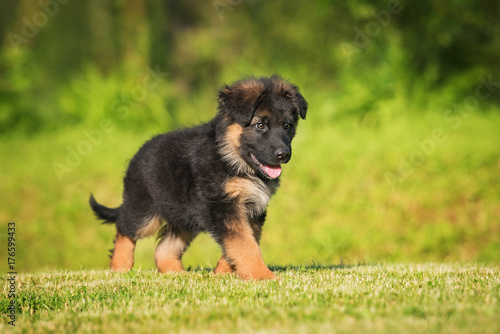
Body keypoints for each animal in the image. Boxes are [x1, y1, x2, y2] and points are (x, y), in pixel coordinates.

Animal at [91, 75, 308, 280]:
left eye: (287, 126)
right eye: (260, 125)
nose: (283, 154)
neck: (231, 158)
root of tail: (137, 154)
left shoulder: (252, 209)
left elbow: (242, 243)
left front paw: (222, 273)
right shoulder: (224, 207)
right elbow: (245, 245)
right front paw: (262, 276)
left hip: (184, 217)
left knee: (163, 249)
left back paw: (177, 274)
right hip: (145, 212)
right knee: (124, 227)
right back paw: (120, 267)